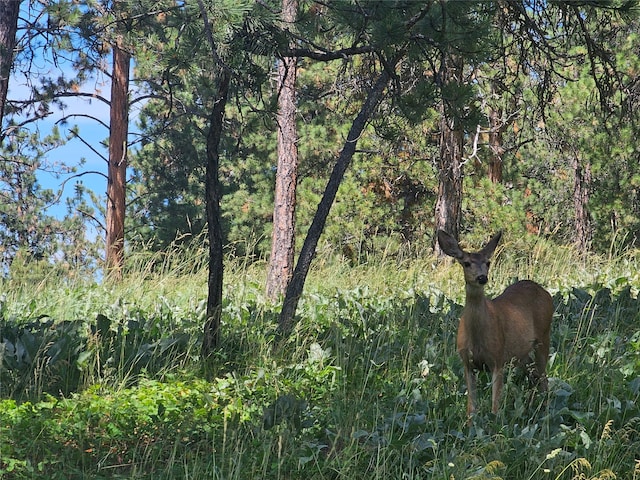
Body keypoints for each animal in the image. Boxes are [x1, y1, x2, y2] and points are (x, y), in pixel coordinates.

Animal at [438, 231, 552, 418]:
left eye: (488, 262)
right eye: (466, 263)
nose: (482, 277)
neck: (477, 338)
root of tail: (544, 291)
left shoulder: (497, 359)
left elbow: (495, 407)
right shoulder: (467, 363)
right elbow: (471, 408)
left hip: (544, 336)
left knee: (543, 376)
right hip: (521, 352)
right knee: (534, 374)